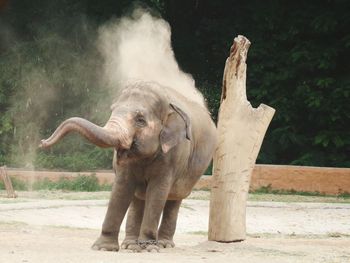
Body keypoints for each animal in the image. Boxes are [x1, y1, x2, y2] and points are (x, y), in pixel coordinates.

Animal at [40, 81, 216, 254]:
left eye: (140, 119)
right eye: (112, 110)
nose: (42, 142)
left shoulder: (173, 156)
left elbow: (158, 191)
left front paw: (150, 249)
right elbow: (122, 188)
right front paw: (103, 248)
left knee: (174, 199)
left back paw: (163, 245)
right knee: (138, 199)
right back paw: (130, 246)